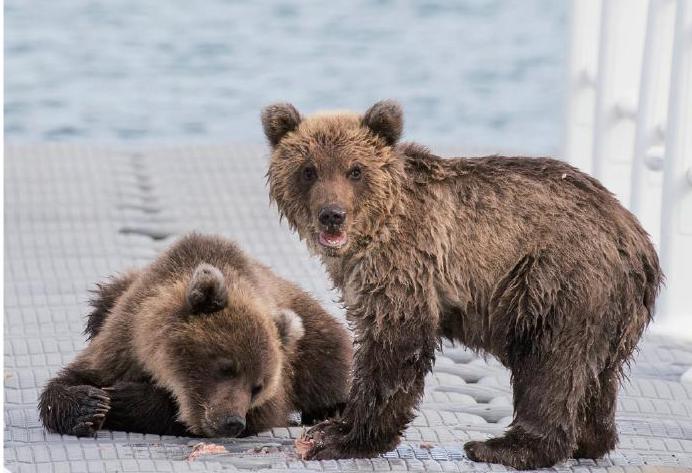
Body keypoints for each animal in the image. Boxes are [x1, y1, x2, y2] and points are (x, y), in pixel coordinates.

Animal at [37, 234, 352, 436]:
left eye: (257, 386)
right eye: (226, 368)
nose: (232, 422)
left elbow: (267, 412)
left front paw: (124, 398)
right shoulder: (124, 340)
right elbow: (72, 378)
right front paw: (90, 405)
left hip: (311, 336)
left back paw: (329, 410)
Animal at [262, 99, 664, 468]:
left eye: (355, 170)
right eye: (308, 170)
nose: (332, 215)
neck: (375, 230)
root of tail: (637, 240)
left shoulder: (407, 266)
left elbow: (394, 347)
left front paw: (341, 435)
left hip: (559, 280)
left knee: (550, 365)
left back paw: (502, 446)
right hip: (607, 309)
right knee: (597, 377)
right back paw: (590, 439)